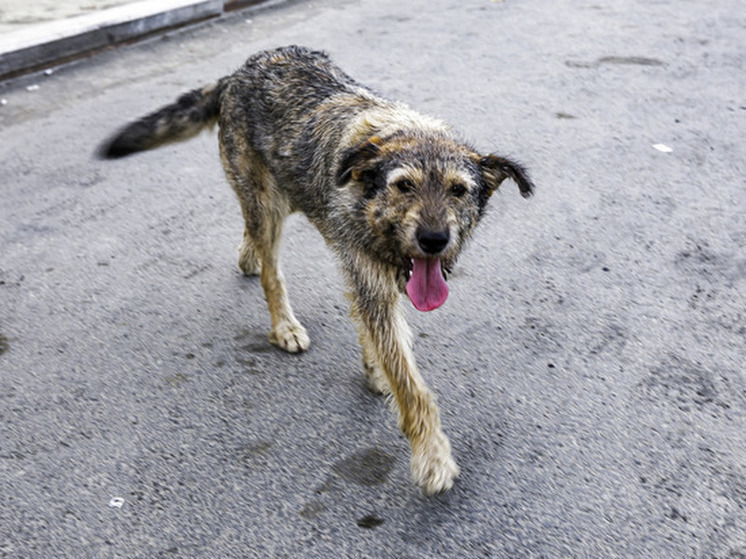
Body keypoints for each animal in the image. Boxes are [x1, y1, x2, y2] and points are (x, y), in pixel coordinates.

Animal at [100, 47, 536, 494]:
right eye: (404, 186)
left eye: (458, 190)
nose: (434, 240)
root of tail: (238, 73)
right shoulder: (369, 279)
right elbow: (410, 383)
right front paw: (432, 457)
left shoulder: (369, 277)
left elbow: (378, 339)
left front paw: (375, 370)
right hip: (267, 203)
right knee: (270, 270)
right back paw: (283, 324)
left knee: (253, 237)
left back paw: (247, 256)